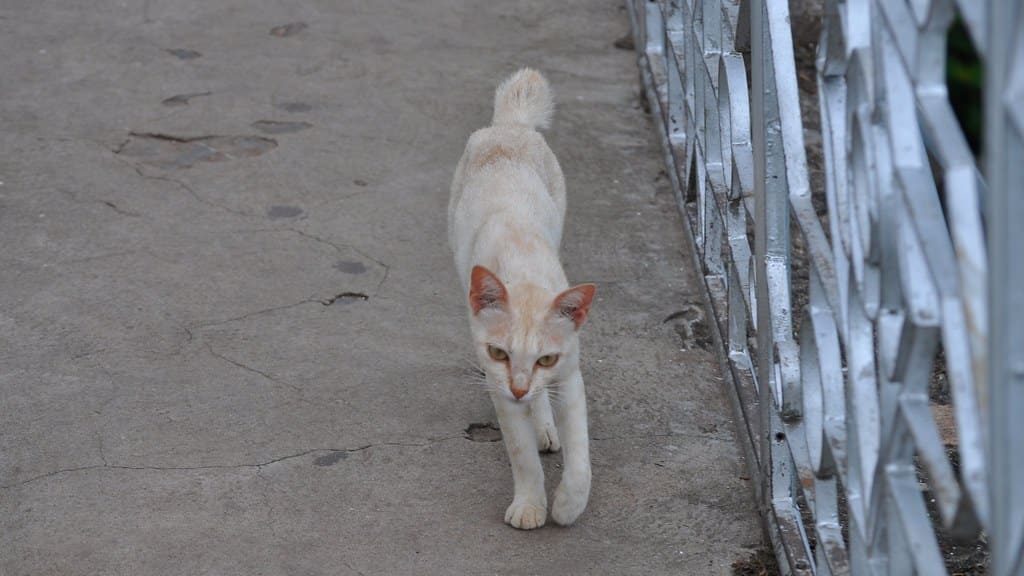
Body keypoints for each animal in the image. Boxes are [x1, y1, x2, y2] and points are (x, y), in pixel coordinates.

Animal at [446, 68, 598, 528]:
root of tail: (508, 128)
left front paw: (568, 506)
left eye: (545, 358)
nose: (518, 387)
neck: (523, 266)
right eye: (499, 352)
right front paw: (531, 506)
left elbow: (581, 458)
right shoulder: (496, 383)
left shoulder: (569, 375)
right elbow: (522, 455)